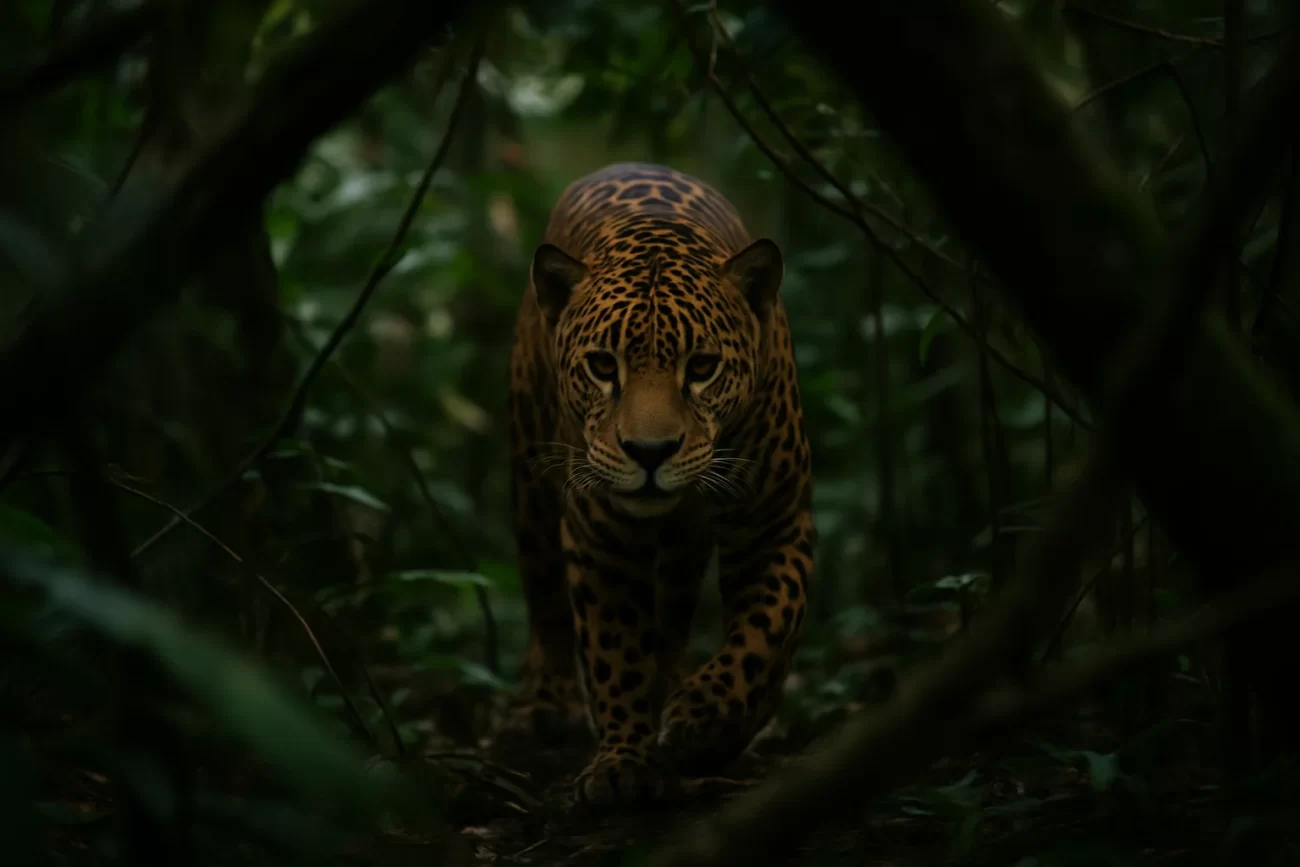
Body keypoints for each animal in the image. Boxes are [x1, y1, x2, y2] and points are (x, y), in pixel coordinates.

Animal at [506, 162, 814, 806]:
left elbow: (767, 628)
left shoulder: (774, 520)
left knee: (672, 615)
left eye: (701, 367)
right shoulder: (597, 536)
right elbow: (612, 649)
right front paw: (622, 761)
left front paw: (709, 716)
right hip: (531, 487)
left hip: (683, 552)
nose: (649, 453)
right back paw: (549, 702)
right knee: (546, 603)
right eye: (603, 365)